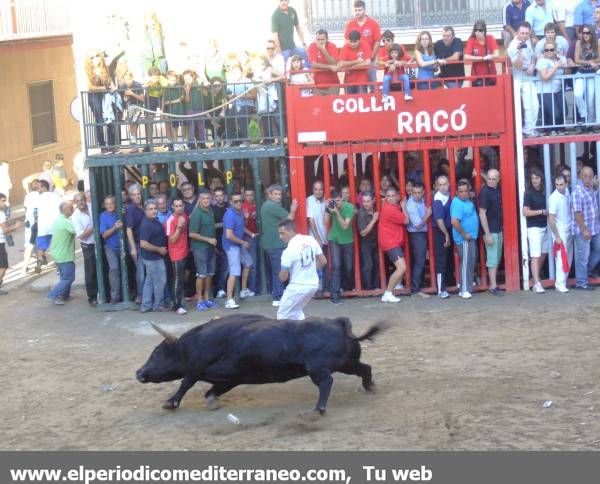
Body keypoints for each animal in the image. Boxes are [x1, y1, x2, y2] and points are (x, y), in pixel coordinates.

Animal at [138, 314, 386, 412]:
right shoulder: (230, 378)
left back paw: (319, 408)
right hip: (347, 363)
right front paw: (211, 401)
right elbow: (212, 390)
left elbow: (186, 383)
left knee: (326, 382)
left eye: (156, 353)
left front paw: (170, 402)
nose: (139, 373)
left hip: (317, 369)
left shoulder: (196, 367)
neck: (192, 343)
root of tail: (339, 323)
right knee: (365, 369)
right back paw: (370, 387)